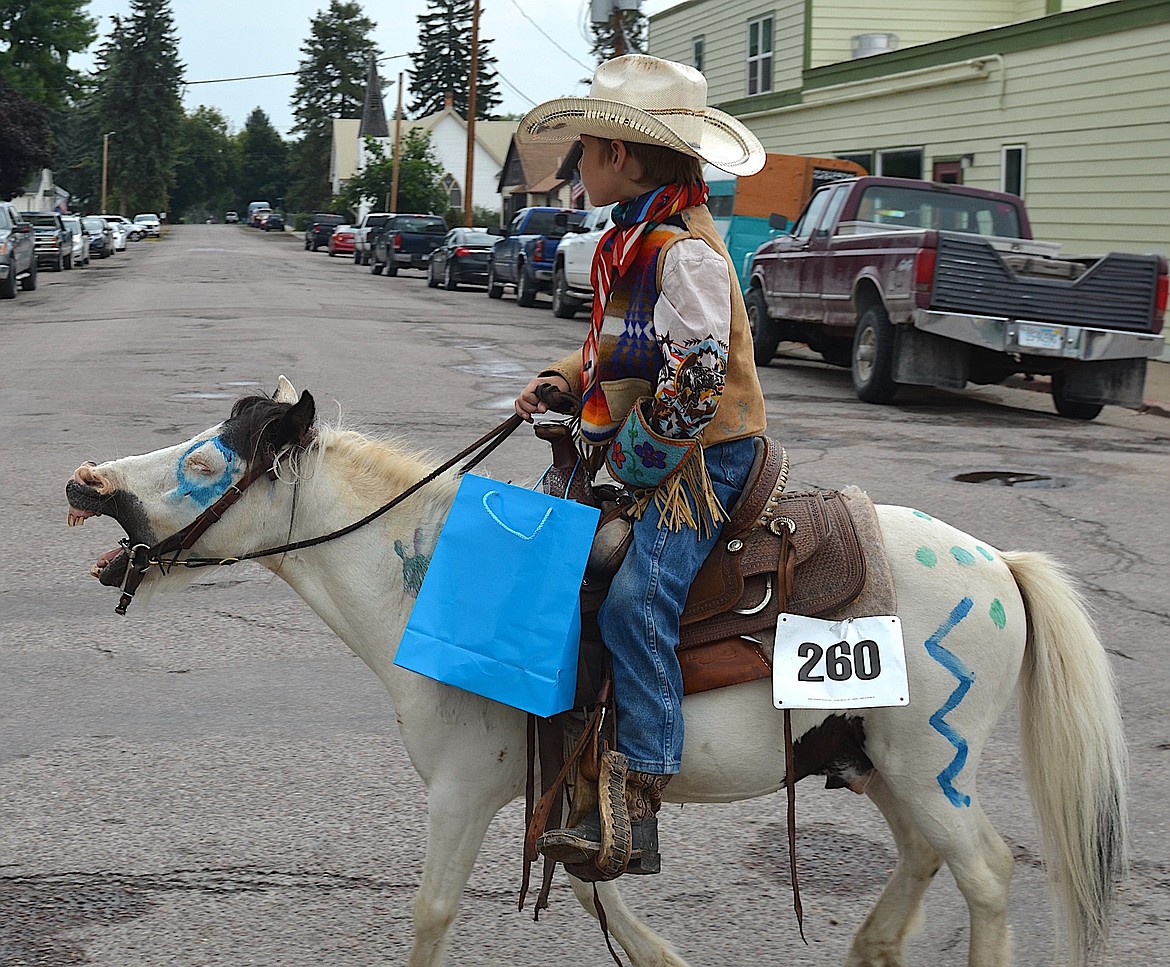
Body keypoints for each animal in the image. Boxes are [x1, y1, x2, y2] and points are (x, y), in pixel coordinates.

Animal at [64, 374, 1123, 964]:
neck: (440, 581)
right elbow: (590, 887)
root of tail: (1000, 565)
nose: (86, 482)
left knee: (984, 872)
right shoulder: (567, 788)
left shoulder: (465, 791)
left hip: (933, 761)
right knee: (922, 856)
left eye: (206, 464)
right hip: (877, 758)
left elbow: (434, 913)